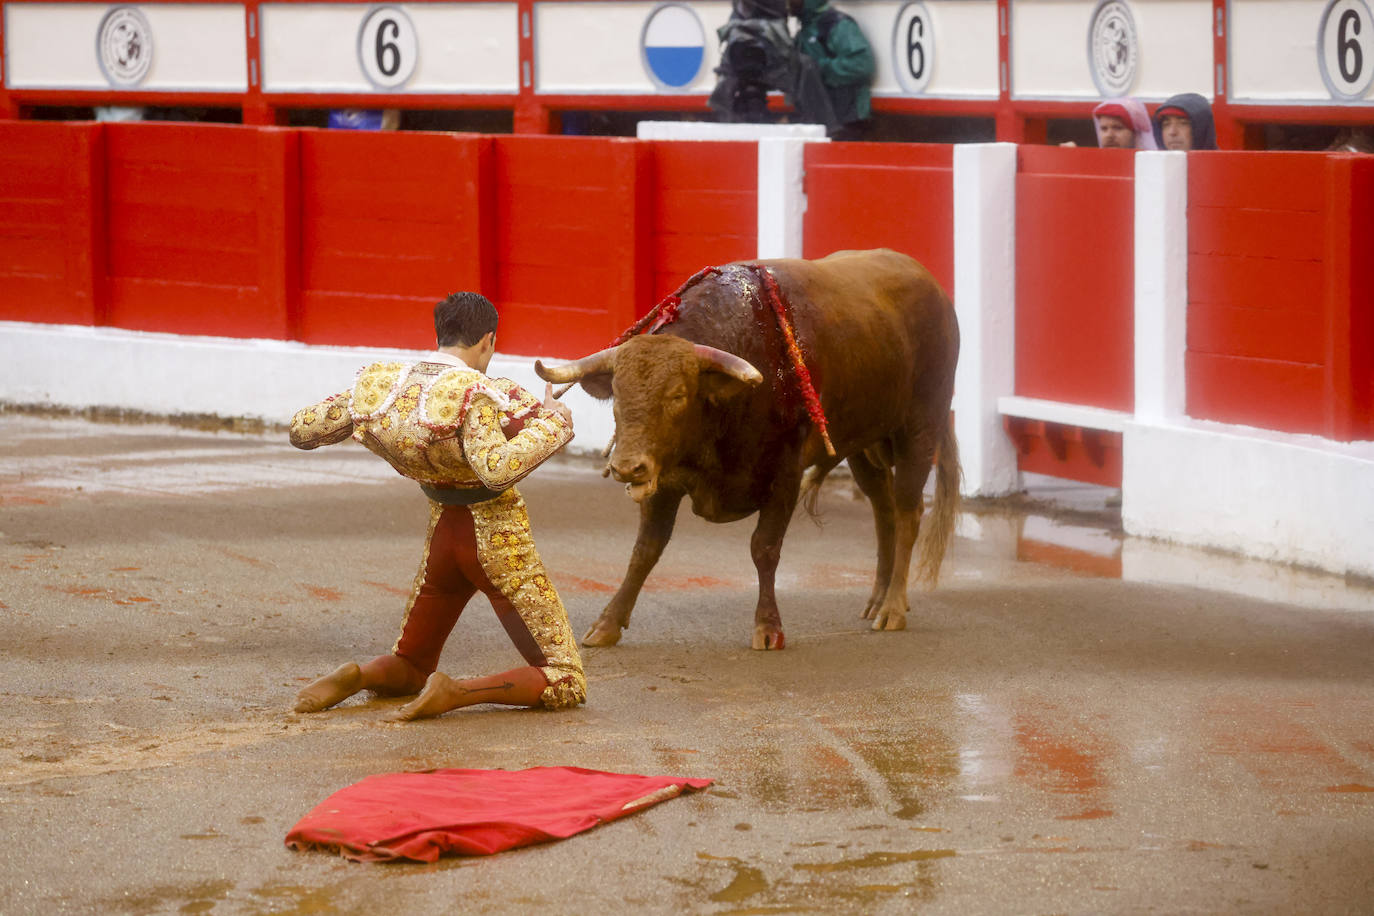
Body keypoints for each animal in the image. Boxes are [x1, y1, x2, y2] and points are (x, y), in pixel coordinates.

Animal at [530, 247, 961, 650]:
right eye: (618, 394)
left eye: (678, 395)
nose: (627, 467)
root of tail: (934, 289)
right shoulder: (665, 478)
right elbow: (645, 549)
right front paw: (607, 623)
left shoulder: (785, 474)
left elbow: (764, 547)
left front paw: (768, 628)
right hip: (863, 444)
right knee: (883, 510)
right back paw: (877, 599)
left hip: (920, 429)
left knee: (908, 512)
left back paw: (892, 608)